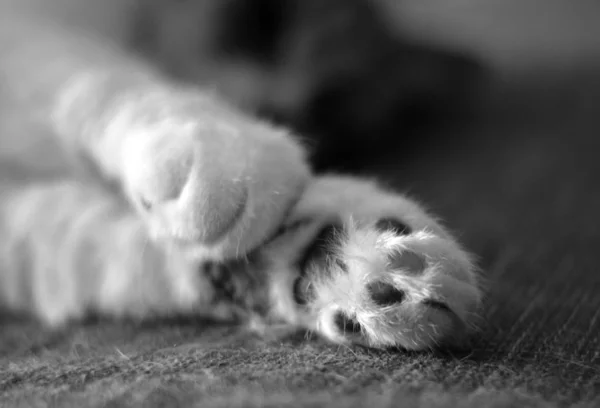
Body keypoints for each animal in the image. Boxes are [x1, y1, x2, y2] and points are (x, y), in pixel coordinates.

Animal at [0, 0, 482, 350]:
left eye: (325, 110)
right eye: (262, 26)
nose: (274, 107)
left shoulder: (26, 241)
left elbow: (110, 254)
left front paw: (329, 270)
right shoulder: (30, 32)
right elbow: (88, 75)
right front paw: (221, 159)